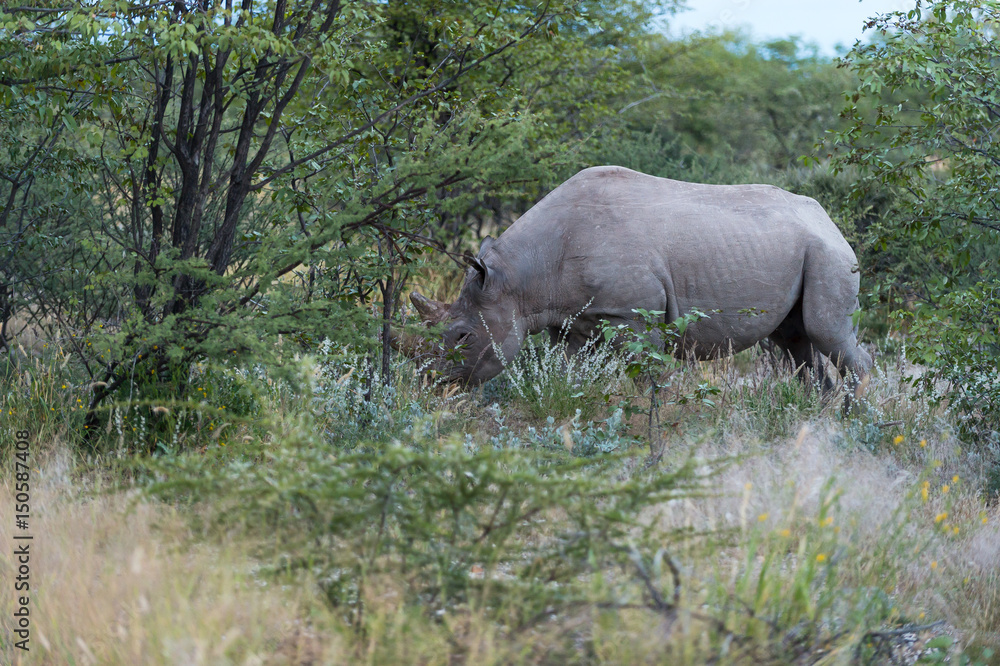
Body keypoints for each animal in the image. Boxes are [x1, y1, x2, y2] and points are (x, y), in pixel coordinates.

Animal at [406, 166, 872, 390]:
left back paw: (854, 421)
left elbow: (644, 375)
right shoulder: (568, 318)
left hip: (830, 255)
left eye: (463, 336)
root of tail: (828, 220)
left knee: (824, 331)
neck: (518, 278)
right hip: (807, 250)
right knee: (795, 341)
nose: (436, 384)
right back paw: (816, 421)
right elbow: (572, 371)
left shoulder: (633, 315)